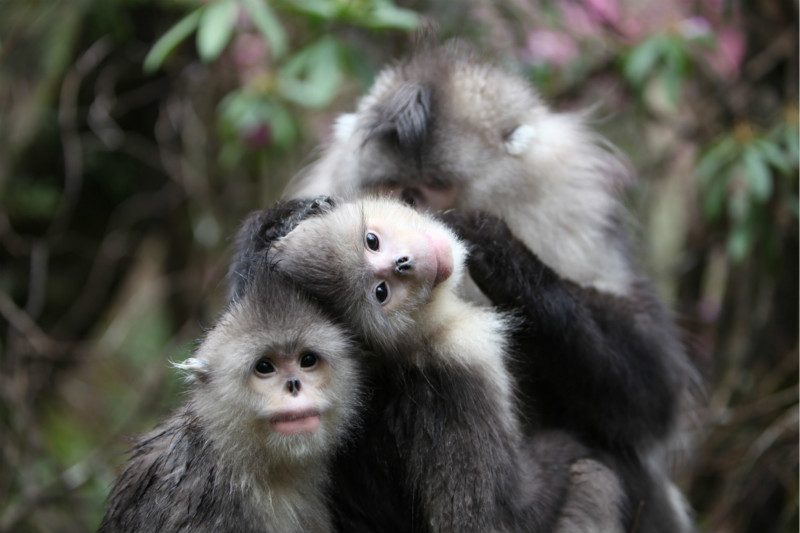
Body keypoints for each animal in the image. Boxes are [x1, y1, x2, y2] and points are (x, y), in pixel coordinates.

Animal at [230, 197, 624, 532]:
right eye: (381, 292)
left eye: (371, 241)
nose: (402, 263)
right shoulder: (460, 356)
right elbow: (493, 522)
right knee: (595, 482)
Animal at [284, 42, 696, 532]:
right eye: (394, 186)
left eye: (434, 186)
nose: (408, 213)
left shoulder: (575, 218)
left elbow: (653, 390)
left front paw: (503, 256)